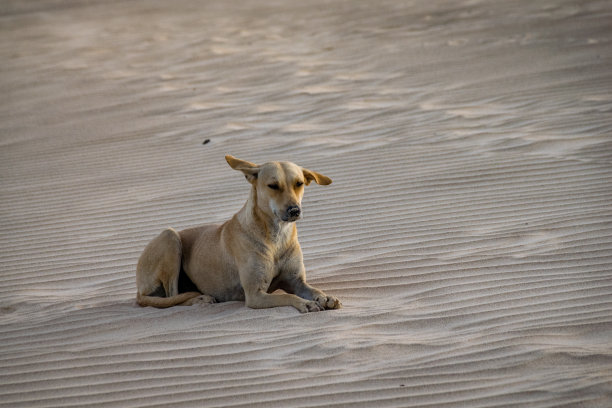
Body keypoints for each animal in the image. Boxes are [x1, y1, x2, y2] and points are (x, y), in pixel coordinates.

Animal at [136, 155, 342, 312]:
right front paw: (305, 303)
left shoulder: (296, 281)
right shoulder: (255, 295)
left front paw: (325, 297)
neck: (276, 237)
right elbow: (287, 297)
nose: (294, 211)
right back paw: (199, 299)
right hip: (169, 237)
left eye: (299, 184)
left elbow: (314, 290)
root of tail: (139, 291)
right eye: (273, 185)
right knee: (172, 297)